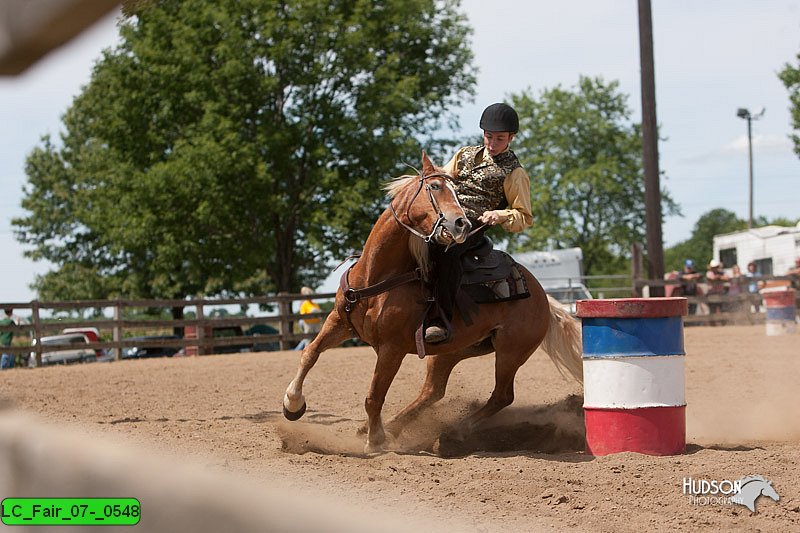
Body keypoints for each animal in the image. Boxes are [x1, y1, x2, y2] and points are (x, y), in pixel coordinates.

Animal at [282, 151, 580, 454]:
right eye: (435, 187)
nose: (461, 224)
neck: (376, 276)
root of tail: (542, 297)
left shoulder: (391, 348)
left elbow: (374, 395)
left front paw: (375, 441)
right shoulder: (339, 323)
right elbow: (310, 354)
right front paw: (292, 404)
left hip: (511, 352)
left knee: (501, 396)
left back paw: (450, 433)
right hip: (452, 350)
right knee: (433, 391)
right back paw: (391, 427)